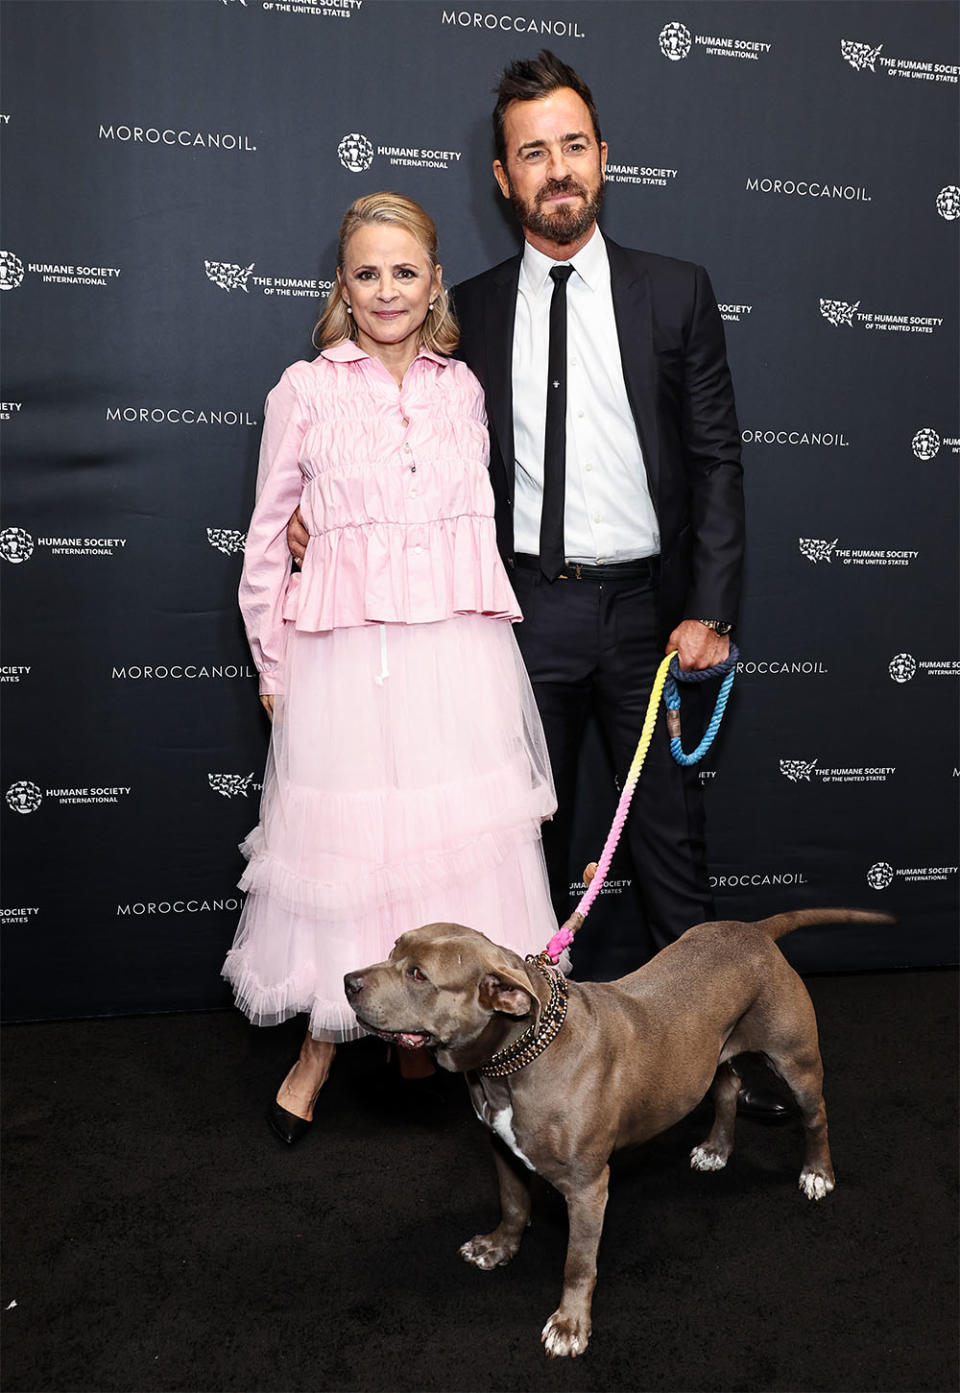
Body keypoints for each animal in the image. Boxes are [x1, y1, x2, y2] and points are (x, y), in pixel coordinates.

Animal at [342, 908, 891, 1353]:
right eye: (393, 949)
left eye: (418, 975)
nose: (348, 981)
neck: (514, 1060)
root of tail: (755, 930)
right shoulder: (500, 1146)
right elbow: (514, 1204)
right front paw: (498, 1248)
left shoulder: (588, 1188)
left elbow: (578, 1263)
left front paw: (570, 1326)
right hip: (706, 1056)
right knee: (728, 1087)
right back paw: (716, 1149)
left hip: (796, 1061)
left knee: (816, 1115)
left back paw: (817, 1173)